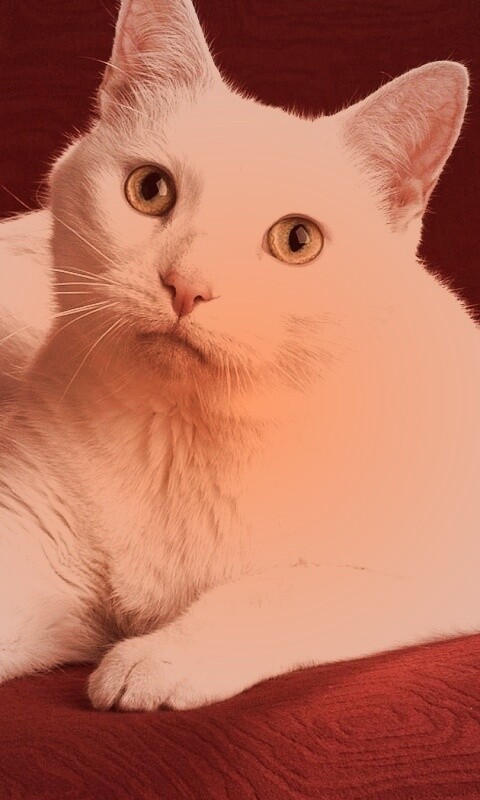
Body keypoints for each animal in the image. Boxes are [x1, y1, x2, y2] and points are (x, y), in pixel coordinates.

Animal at [0, 0, 479, 712]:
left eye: (297, 240)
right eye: (150, 189)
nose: (186, 285)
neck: (186, 437)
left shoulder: (439, 572)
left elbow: (284, 587)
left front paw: (155, 658)